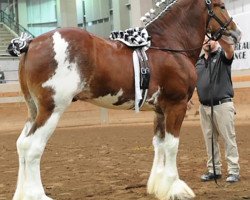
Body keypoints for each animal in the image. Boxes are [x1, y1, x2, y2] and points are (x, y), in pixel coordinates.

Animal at [11, 0, 240, 200]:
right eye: (221, 6)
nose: (236, 33)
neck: (168, 45)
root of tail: (31, 43)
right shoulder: (177, 105)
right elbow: (172, 145)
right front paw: (175, 189)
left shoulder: (160, 110)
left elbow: (159, 144)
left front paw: (158, 186)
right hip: (51, 109)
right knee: (33, 147)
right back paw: (37, 195)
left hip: (34, 110)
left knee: (22, 145)